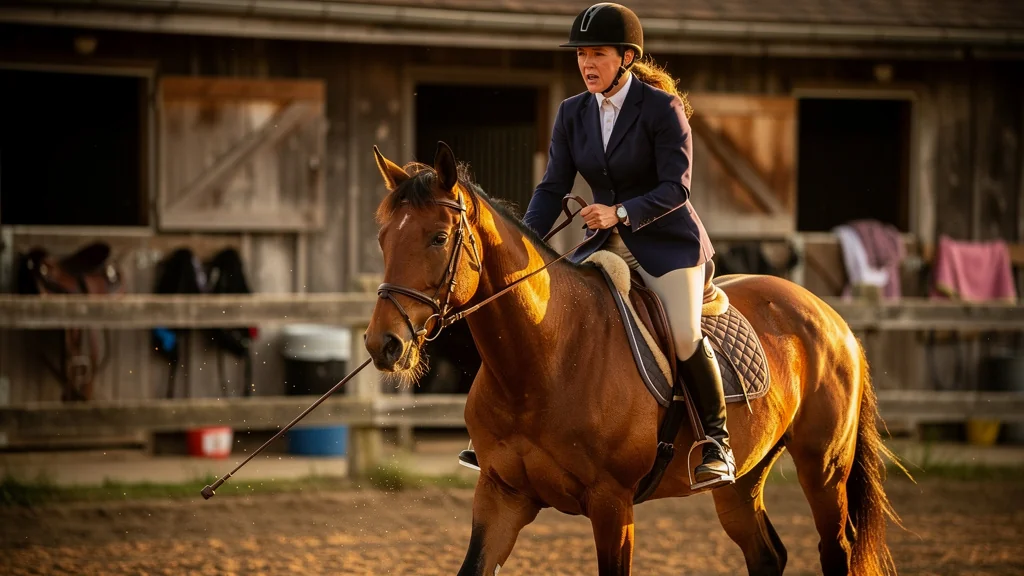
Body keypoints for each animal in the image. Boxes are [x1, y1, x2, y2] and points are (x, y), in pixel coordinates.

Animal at [364, 141, 906, 576]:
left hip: (823, 469)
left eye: (438, 238)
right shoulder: (501, 496)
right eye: (383, 238)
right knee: (766, 554)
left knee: (835, 550)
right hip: (742, 481)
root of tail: (830, 317)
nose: (381, 344)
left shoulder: (613, 504)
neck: (544, 362)